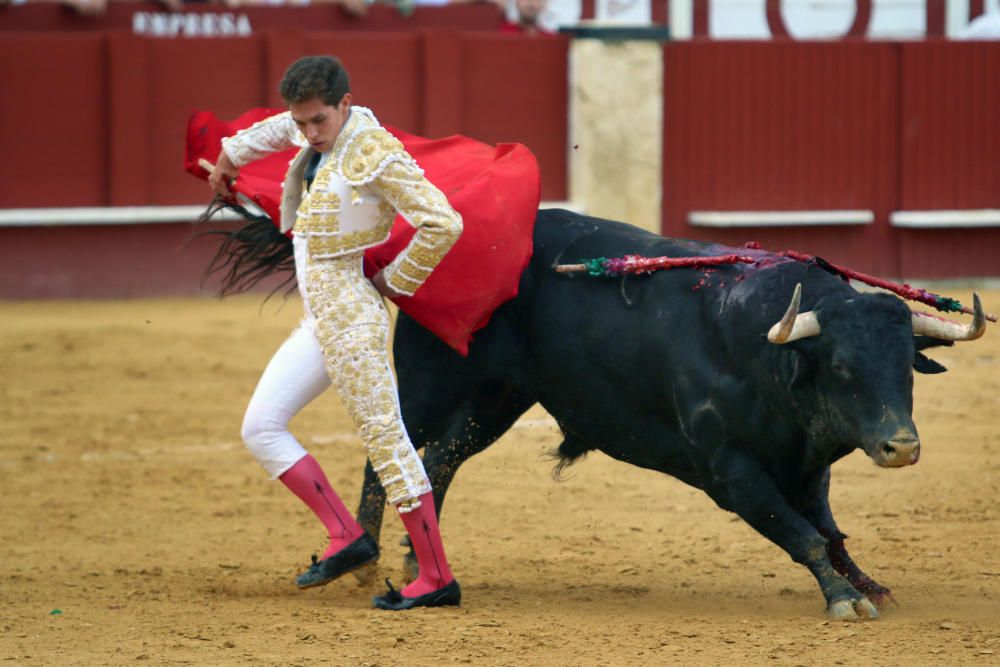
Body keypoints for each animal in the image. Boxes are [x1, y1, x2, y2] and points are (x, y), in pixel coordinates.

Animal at [352, 209, 984, 620]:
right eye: (843, 368)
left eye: (906, 367)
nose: (901, 447)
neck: (763, 352)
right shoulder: (730, 473)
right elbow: (802, 535)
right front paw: (843, 599)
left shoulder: (807, 466)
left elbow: (830, 534)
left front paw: (870, 586)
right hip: (429, 384)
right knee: (387, 456)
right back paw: (362, 561)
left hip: (499, 397)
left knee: (440, 460)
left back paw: (417, 565)